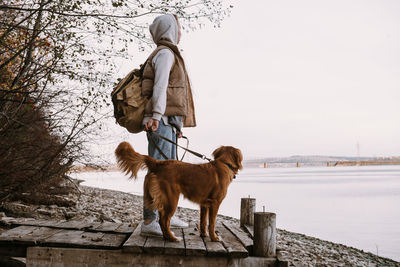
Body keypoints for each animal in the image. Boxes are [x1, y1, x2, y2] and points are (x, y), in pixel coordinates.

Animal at [114, 142, 242, 243]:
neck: (224, 163)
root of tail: (159, 163)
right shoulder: (215, 203)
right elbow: (212, 223)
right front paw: (214, 238)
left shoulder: (204, 204)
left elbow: (203, 221)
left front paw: (203, 234)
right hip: (172, 199)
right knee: (164, 221)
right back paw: (173, 238)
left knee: (162, 219)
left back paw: (167, 237)